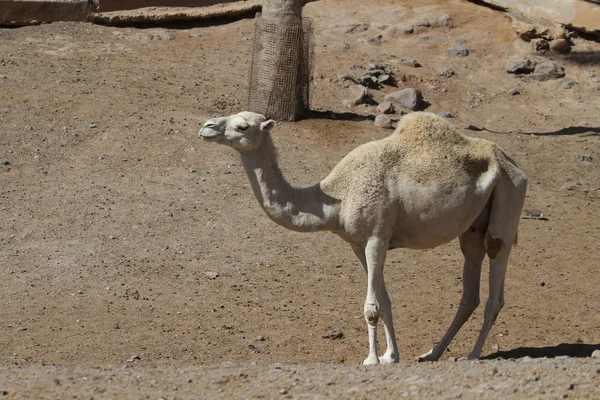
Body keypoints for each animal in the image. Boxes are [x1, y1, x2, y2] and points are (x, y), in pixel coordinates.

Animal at [199, 110, 528, 366]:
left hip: (508, 201)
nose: (207, 127)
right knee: (470, 291)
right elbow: (384, 299)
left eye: (243, 126)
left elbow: (371, 307)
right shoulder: (357, 243)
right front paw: (390, 356)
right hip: (472, 230)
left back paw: (473, 355)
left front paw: (371, 359)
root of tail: (513, 163)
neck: (337, 198)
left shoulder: (376, 237)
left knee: (495, 286)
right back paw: (431, 353)